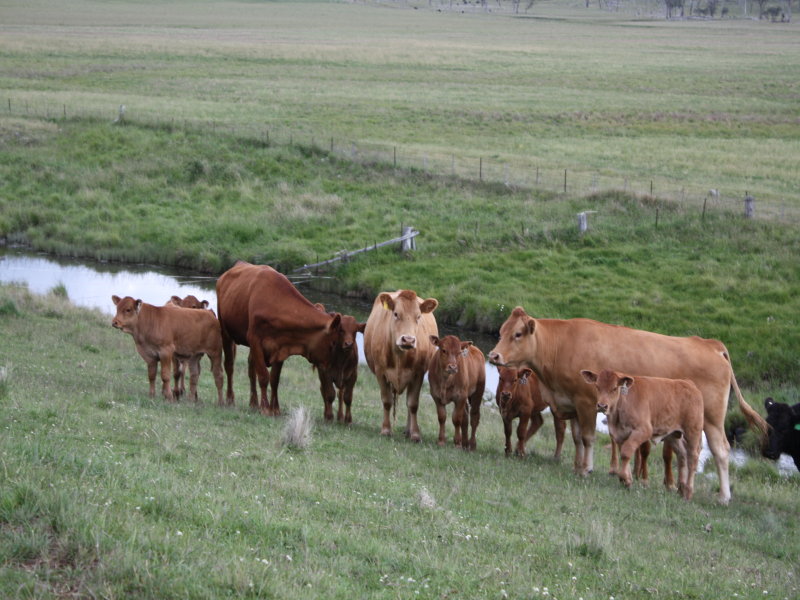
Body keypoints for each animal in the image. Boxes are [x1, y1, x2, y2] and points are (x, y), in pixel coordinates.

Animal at [215, 261, 342, 416]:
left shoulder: (281, 346)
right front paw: (265, 407)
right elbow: (263, 376)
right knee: (229, 365)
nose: (336, 376)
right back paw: (230, 399)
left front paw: (275, 409)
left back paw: (253, 403)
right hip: (225, 331)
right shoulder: (255, 339)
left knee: (251, 368)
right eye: (333, 343)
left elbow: (274, 379)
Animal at [363, 290, 438, 441]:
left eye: (418, 316)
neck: (399, 356)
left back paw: (408, 430)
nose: (408, 340)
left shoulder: (418, 374)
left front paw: (415, 434)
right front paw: (386, 429)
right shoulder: (380, 372)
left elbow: (413, 404)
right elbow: (387, 401)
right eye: (396, 314)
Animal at [582, 369, 704, 500]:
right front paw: (628, 480)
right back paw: (681, 489)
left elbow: (626, 452)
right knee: (682, 455)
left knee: (692, 458)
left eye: (614, 388)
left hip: (693, 432)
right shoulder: (620, 434)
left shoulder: (644, 430)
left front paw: (624, 478)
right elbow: (624, 453)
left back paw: (688, 492)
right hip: (672, 435)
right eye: (597, 386)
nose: (602, 406)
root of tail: (688, 383)